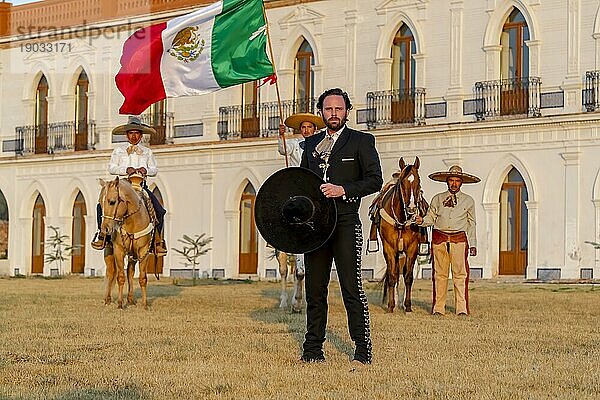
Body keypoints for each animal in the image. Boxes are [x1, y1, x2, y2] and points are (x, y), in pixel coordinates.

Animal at [99, 176, 155, 310]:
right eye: (100, 203)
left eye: (112, 201)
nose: (105, 229)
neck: (132, 222)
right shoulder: (118, 250)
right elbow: (120, 277)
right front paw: (120, 304)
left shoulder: (143, 251)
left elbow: (142, 278)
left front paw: (145, 304)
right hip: (109, 252)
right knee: (111, 273)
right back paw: (108, 299)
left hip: (133, 255)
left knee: (130, 272)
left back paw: (130, 299)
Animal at [380, 156, 426, 312]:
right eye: (402, 182)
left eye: (418, 181)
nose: (411, 208)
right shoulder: (389, 248)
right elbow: (392, 276)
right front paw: (390, 305)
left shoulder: (412, 249)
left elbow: (408, 277)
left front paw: (408, 306)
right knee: (393, 273)